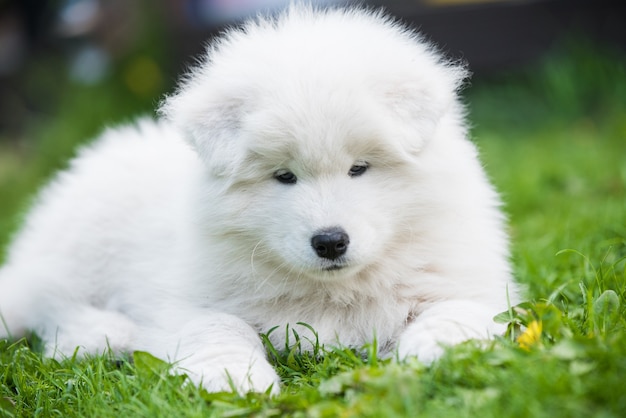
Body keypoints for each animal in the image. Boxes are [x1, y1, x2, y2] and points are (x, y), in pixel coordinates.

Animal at [0, 4, 516, 394]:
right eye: (284, 176)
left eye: (359, 168)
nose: (330, 242)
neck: (333, 290)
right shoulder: (191, 298)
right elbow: (219, 328)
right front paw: (238, 380)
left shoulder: (469, 278)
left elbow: (455, 309)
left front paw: (434, 352)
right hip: (83, 242)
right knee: (51, 303)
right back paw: (106, 335)